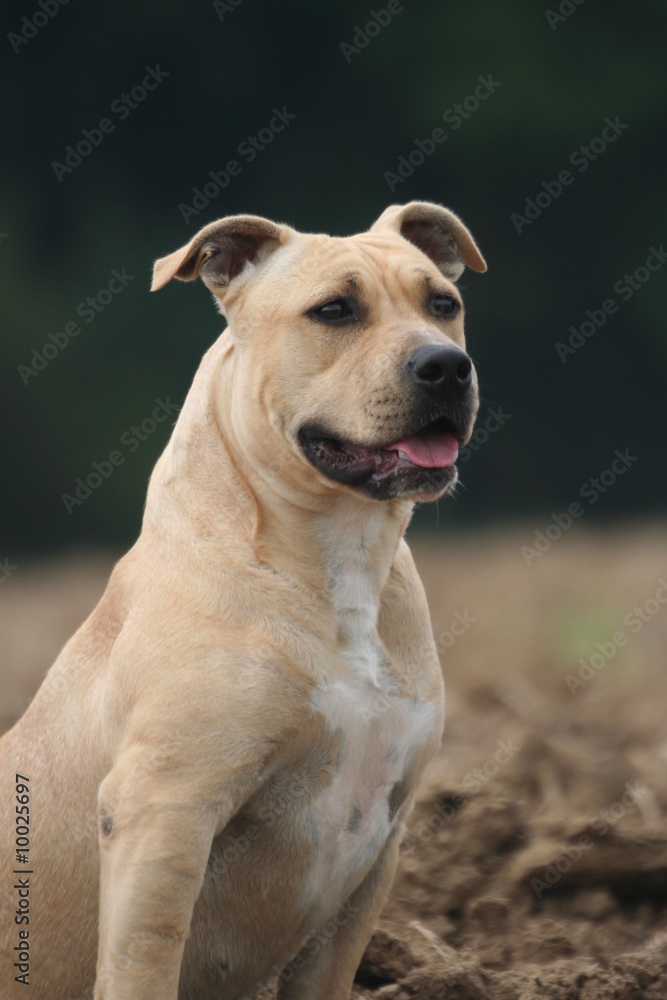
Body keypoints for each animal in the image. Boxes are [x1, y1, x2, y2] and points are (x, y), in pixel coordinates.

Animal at [2, 199, 488, 996]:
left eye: (443, 304)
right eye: (333, 310)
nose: (445, 365)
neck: (339, 556)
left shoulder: (376, 845)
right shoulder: (165, 811)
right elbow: (144, 962)